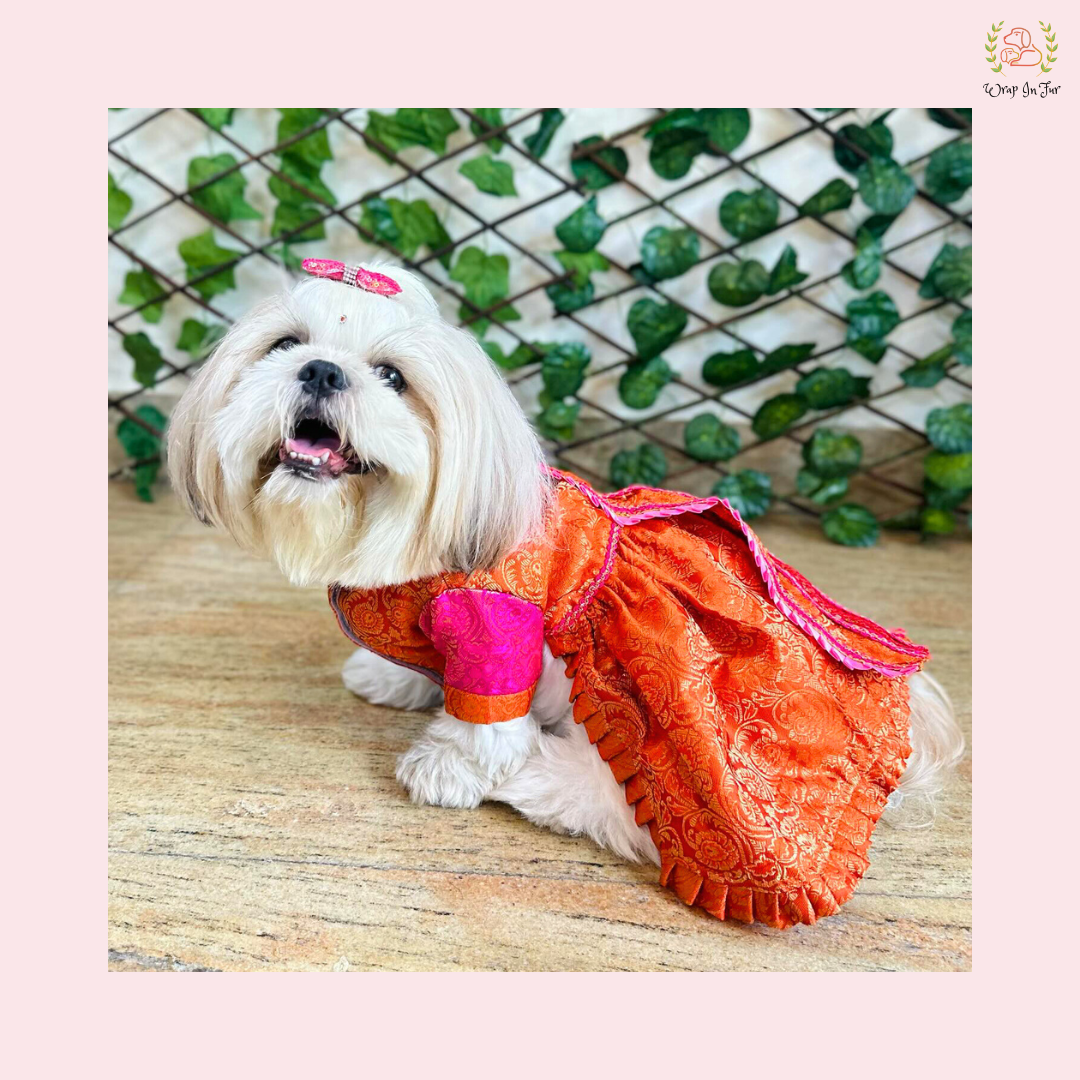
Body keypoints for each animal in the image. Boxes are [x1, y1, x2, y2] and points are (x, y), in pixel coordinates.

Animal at [168, 257, 963, 924]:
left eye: (392, 376)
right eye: (285, 344)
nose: (322, 371)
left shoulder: (495, 622)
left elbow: (487, 718)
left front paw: (449, 766)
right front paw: (394, 677)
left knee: (623, 807)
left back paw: (534, 776)